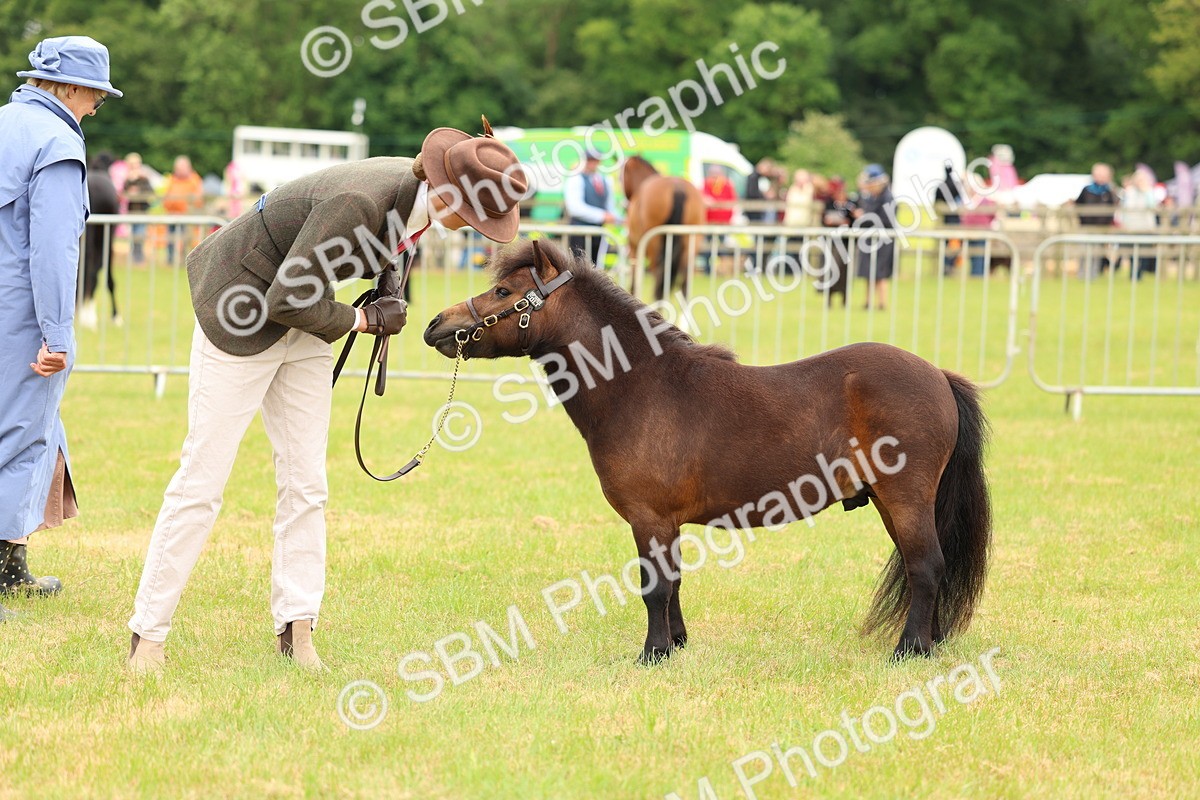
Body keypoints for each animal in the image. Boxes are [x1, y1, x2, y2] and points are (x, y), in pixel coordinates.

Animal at [423, 240, 992, 663]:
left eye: (504, 290)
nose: (434, 325)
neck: (640, 386)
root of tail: (937, 375)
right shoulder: (666, 522)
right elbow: (673, 582)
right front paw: (675, 645)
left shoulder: (648, 517)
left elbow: (654, 586)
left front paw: (651, 654)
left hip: (905, 496)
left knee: (926, 565)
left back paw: (910, 650)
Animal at [622, 155, 706, 302]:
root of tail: (677, 188)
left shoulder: (634, 247)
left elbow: (634, 280)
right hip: (691, 240)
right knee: (684, 280)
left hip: (654, 243)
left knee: (658, 276)